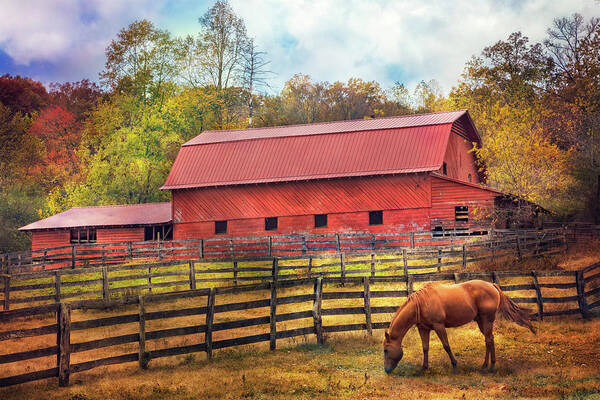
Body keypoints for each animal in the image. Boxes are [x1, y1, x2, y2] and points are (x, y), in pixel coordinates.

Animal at [382, 278, 536, 376]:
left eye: (385, 350)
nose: (386, 371)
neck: (420, 304)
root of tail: (492, 285)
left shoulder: (439, 326)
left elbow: (446, 346)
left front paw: (455, 366)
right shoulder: (423, 328)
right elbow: (425, 348)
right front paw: (424, 368)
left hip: (487, 320)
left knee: (488, 340)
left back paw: (489, 367)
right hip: (481, 321)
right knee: (489, 339)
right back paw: (486, 365)